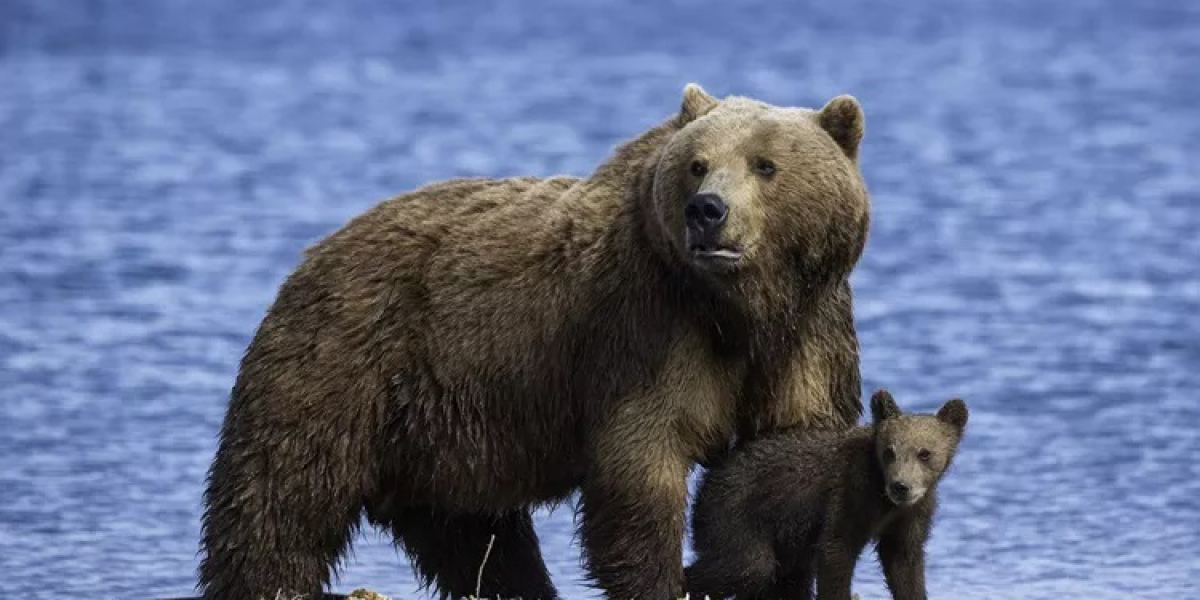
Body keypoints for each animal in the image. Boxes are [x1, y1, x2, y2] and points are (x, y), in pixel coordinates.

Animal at [199, 83, 872, 600]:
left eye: (765, 164)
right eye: (697, 164)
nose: (707, 210)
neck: (739, 307)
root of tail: (315, 253)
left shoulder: (809, 332)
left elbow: (789, 455)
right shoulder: (645, 332)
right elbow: (641, 465)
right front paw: (661, 579)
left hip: (441, 438)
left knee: (476, 538)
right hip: (340, 369)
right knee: (280, 502)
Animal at [684, 390, 969, 600]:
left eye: (924, 453)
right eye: (890, 452)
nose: (901, 486)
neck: (884, 501)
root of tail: (712, 472)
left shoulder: (911, 514)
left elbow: (905, 564)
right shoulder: (850, 494)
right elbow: (836, 551)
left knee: (787, 578)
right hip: (734, 510)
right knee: (746, 564)